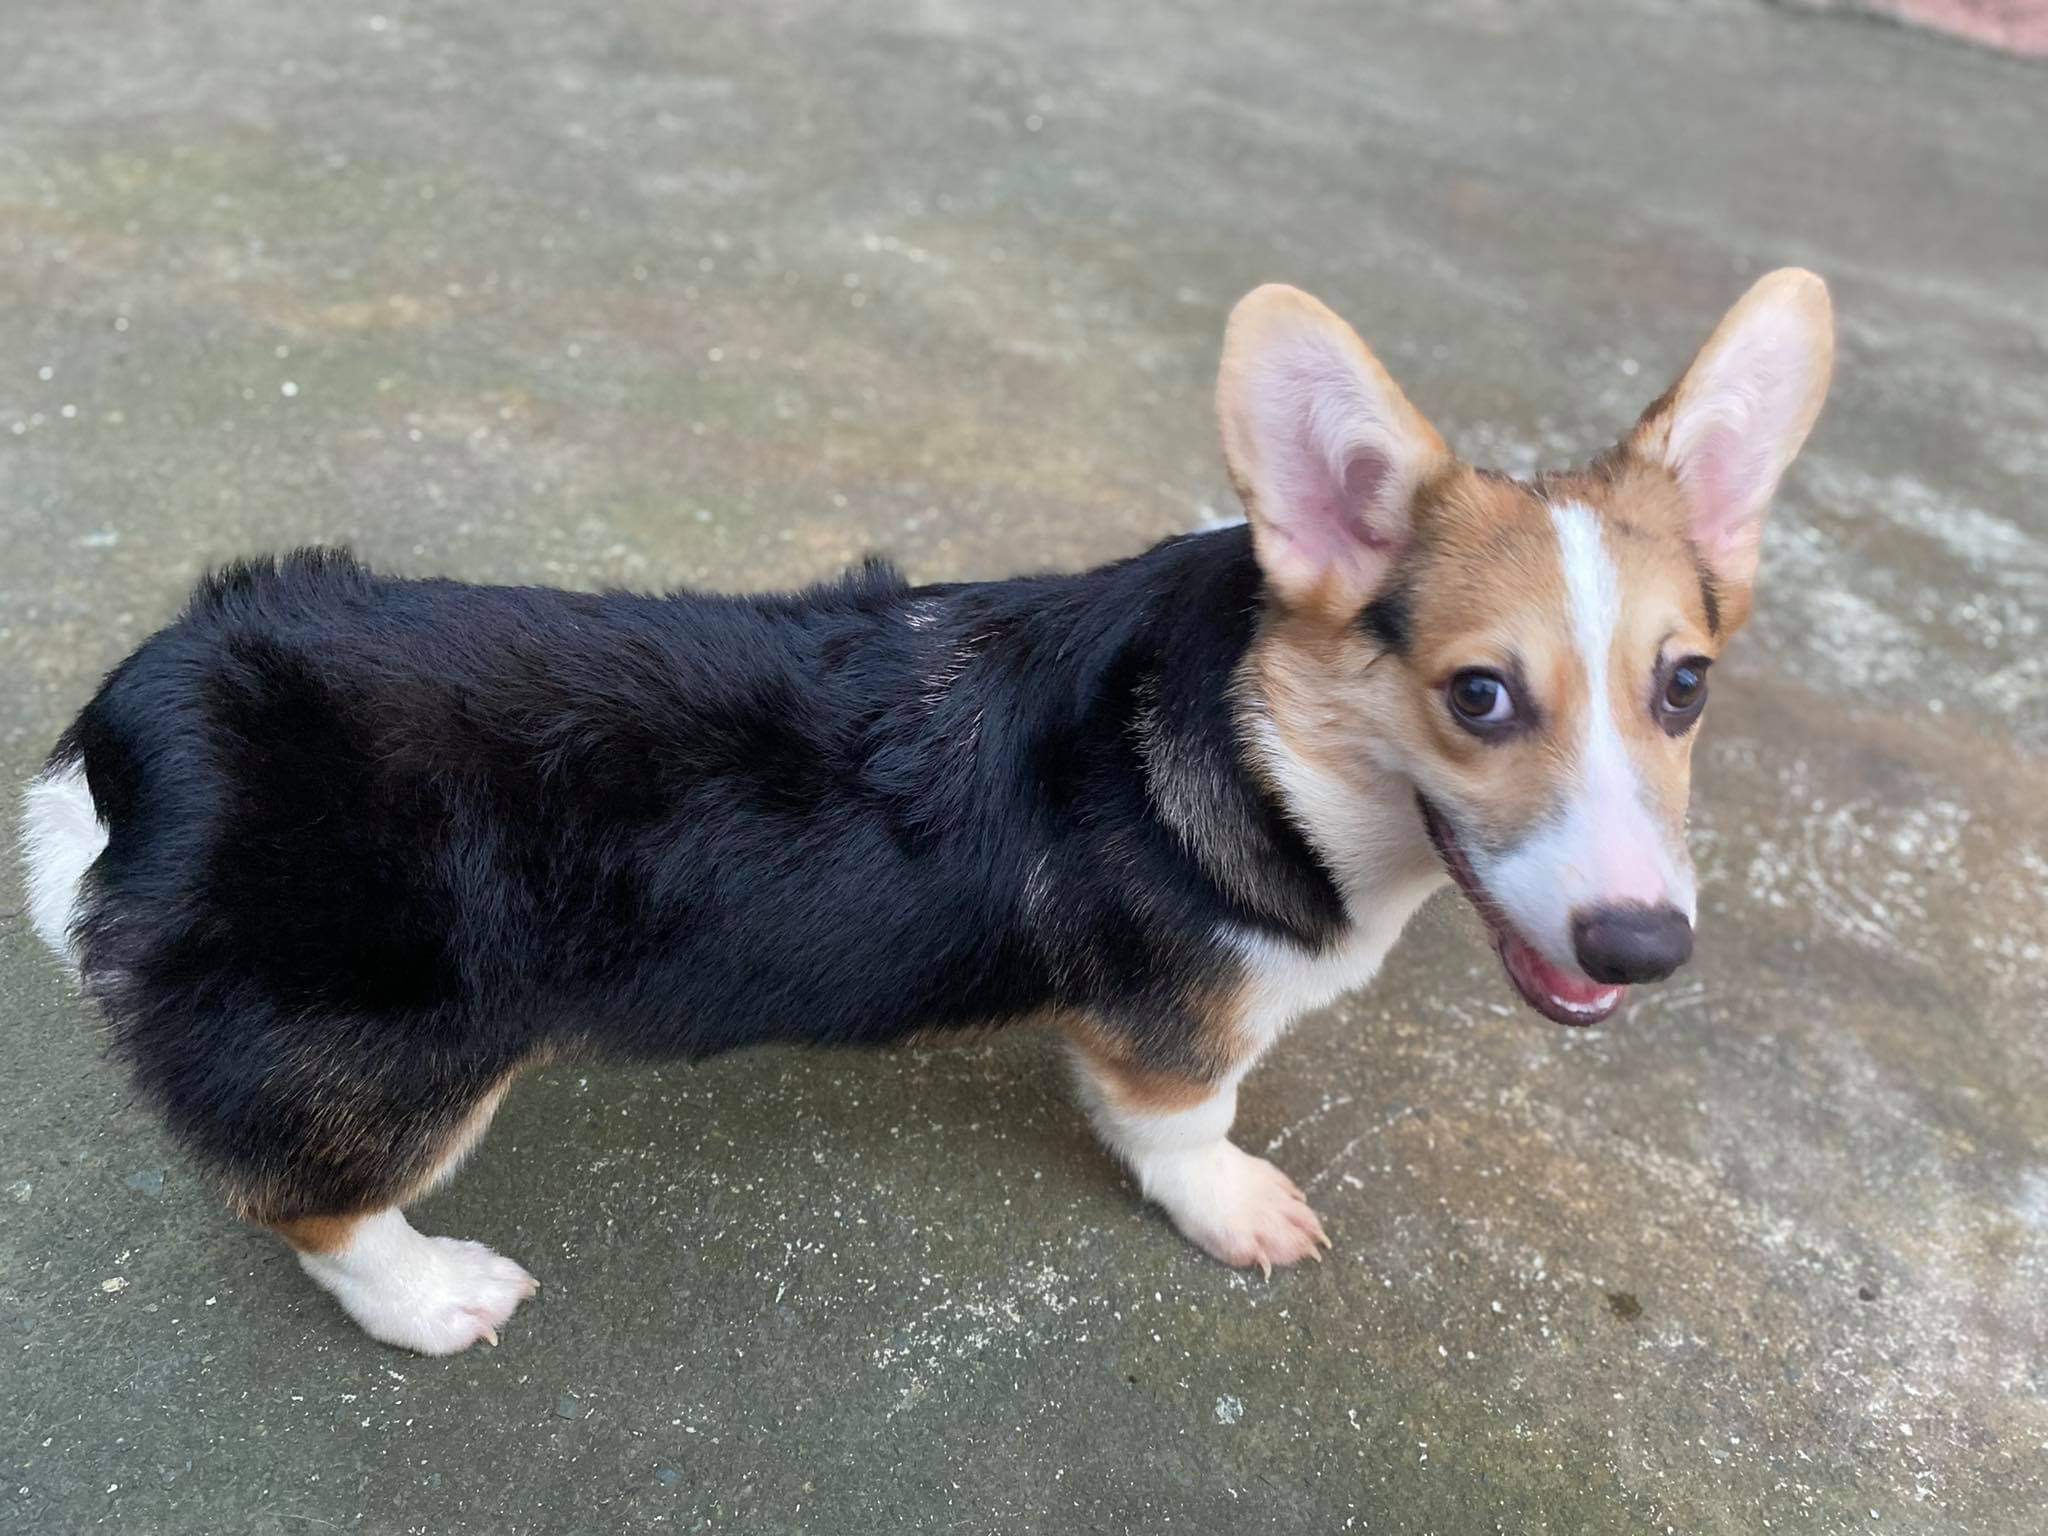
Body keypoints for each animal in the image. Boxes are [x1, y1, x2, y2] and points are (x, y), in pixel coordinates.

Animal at [19, 270, 1843, 1351]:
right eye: (1478, 698)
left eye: (1684, 686)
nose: (1645, 945)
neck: (1275, 747)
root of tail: (143, 732)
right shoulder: (1169, 1032)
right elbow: (1184, 1126)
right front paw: (1239, 1208)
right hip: (406, 1058)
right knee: (309, 1199)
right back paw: (434, 1292)